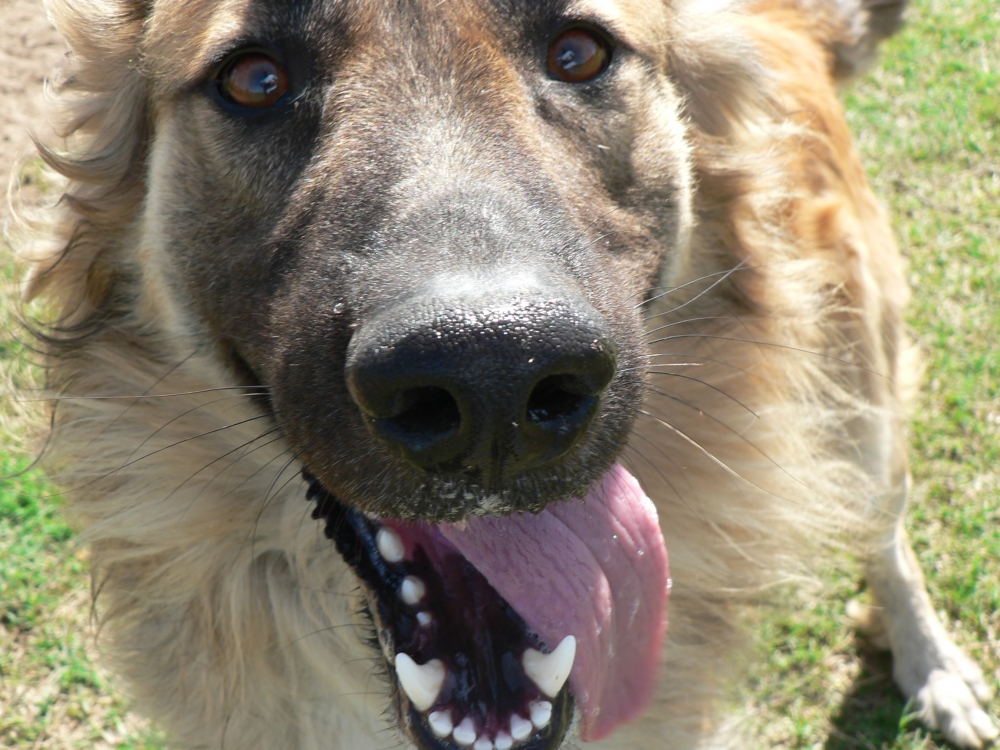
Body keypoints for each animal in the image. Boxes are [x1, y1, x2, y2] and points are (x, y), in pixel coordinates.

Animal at [11, 0, 996, 748]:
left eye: (578, 52)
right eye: (256, 80)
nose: (493, 381)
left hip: (861, 389)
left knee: (883, 526)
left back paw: (933, 664)